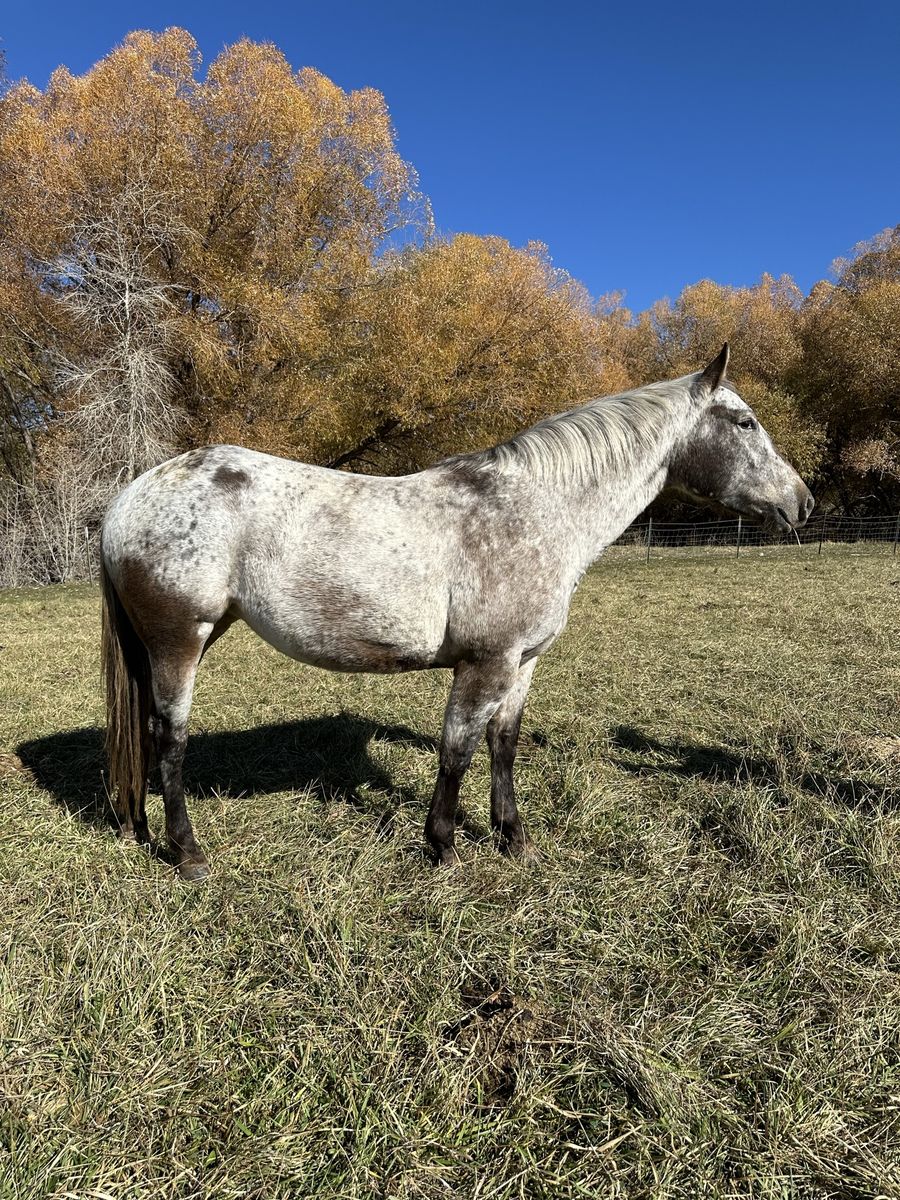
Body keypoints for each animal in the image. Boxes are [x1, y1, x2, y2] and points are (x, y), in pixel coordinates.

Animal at [100, 344, 814, 880]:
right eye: (745, 422)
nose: (802, 502)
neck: (535, 509)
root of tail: (129, 498)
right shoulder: (484, 663)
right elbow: (457, 750)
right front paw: (443, 845)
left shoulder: (521, 663)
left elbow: (503, 744)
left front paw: (512, 837)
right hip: (179, 640)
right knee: (168, 738)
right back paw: (188, 852)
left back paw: (138, 826)